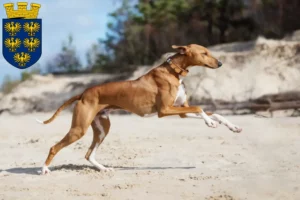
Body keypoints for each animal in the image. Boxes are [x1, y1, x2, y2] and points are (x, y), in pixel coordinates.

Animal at [37, 44, 243, 175]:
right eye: (204, 53)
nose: (220, 63)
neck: (174, 71)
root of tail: (83, 92)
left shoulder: (182, 112)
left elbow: (215, 113)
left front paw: (232, 126)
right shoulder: (165, 110)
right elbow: (200, 108)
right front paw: (210, 123)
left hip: (102, 128)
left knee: (89, 154)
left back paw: (103, 169)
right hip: (79, 129)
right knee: (54, 147)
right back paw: (45, 169)